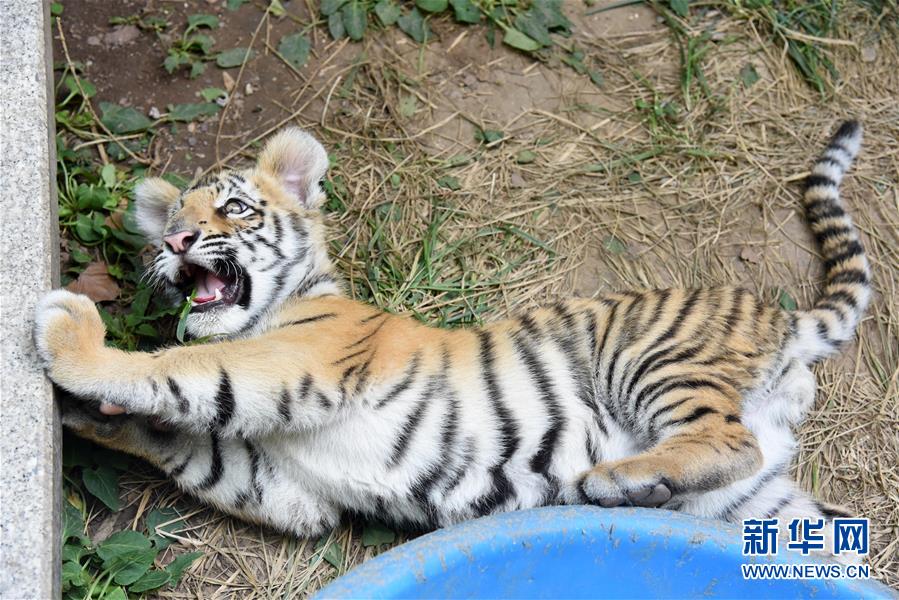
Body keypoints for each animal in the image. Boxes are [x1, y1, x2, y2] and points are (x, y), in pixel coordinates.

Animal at [35, 120, 872, 548]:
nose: (175, 242)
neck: (287, 303)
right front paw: (83, 414)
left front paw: (67, 332)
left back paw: (614, 480)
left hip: (649, 355)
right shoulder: (285, 489)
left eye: (233, 208)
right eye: (171, 221)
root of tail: (783, 319)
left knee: (727, 439)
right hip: (755, 505)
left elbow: (183, 367)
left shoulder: (297, 360)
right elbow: (183, 439)